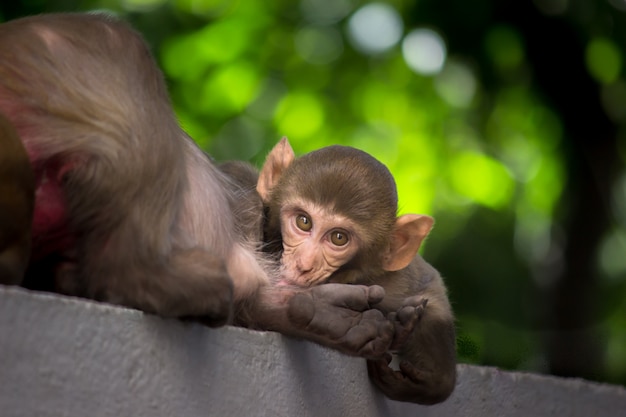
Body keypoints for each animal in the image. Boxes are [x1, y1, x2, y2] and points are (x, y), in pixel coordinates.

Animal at [256, 139, 456, 404]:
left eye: (338, 238)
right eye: (303, 221)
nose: (303, 264)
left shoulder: (386, 278)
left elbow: (429, 285)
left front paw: (434, 378)